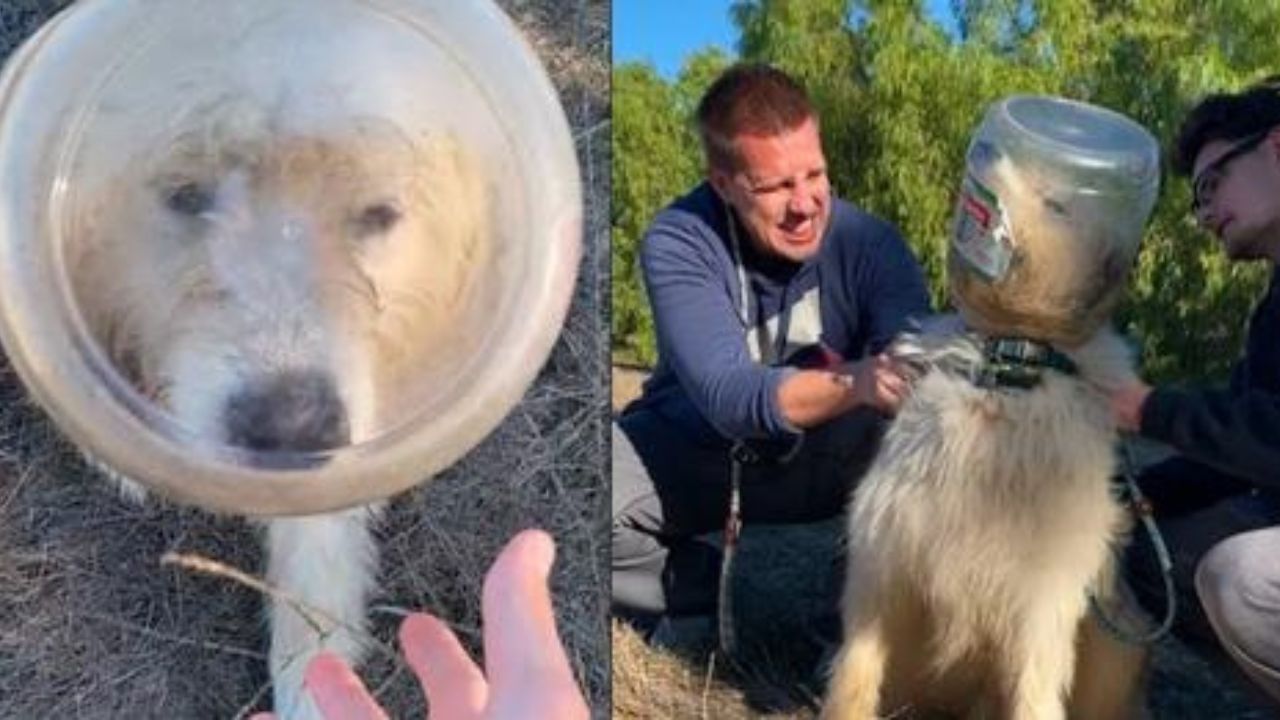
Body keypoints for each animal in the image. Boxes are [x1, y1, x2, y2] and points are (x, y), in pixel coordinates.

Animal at [824, 147, 1157, 717]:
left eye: (1057, 203)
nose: (986, 149)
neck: (1007, 364)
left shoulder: (1041, 605)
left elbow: (1034, 695)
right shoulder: (881, 564)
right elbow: (856, 670)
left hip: (1116, 644)